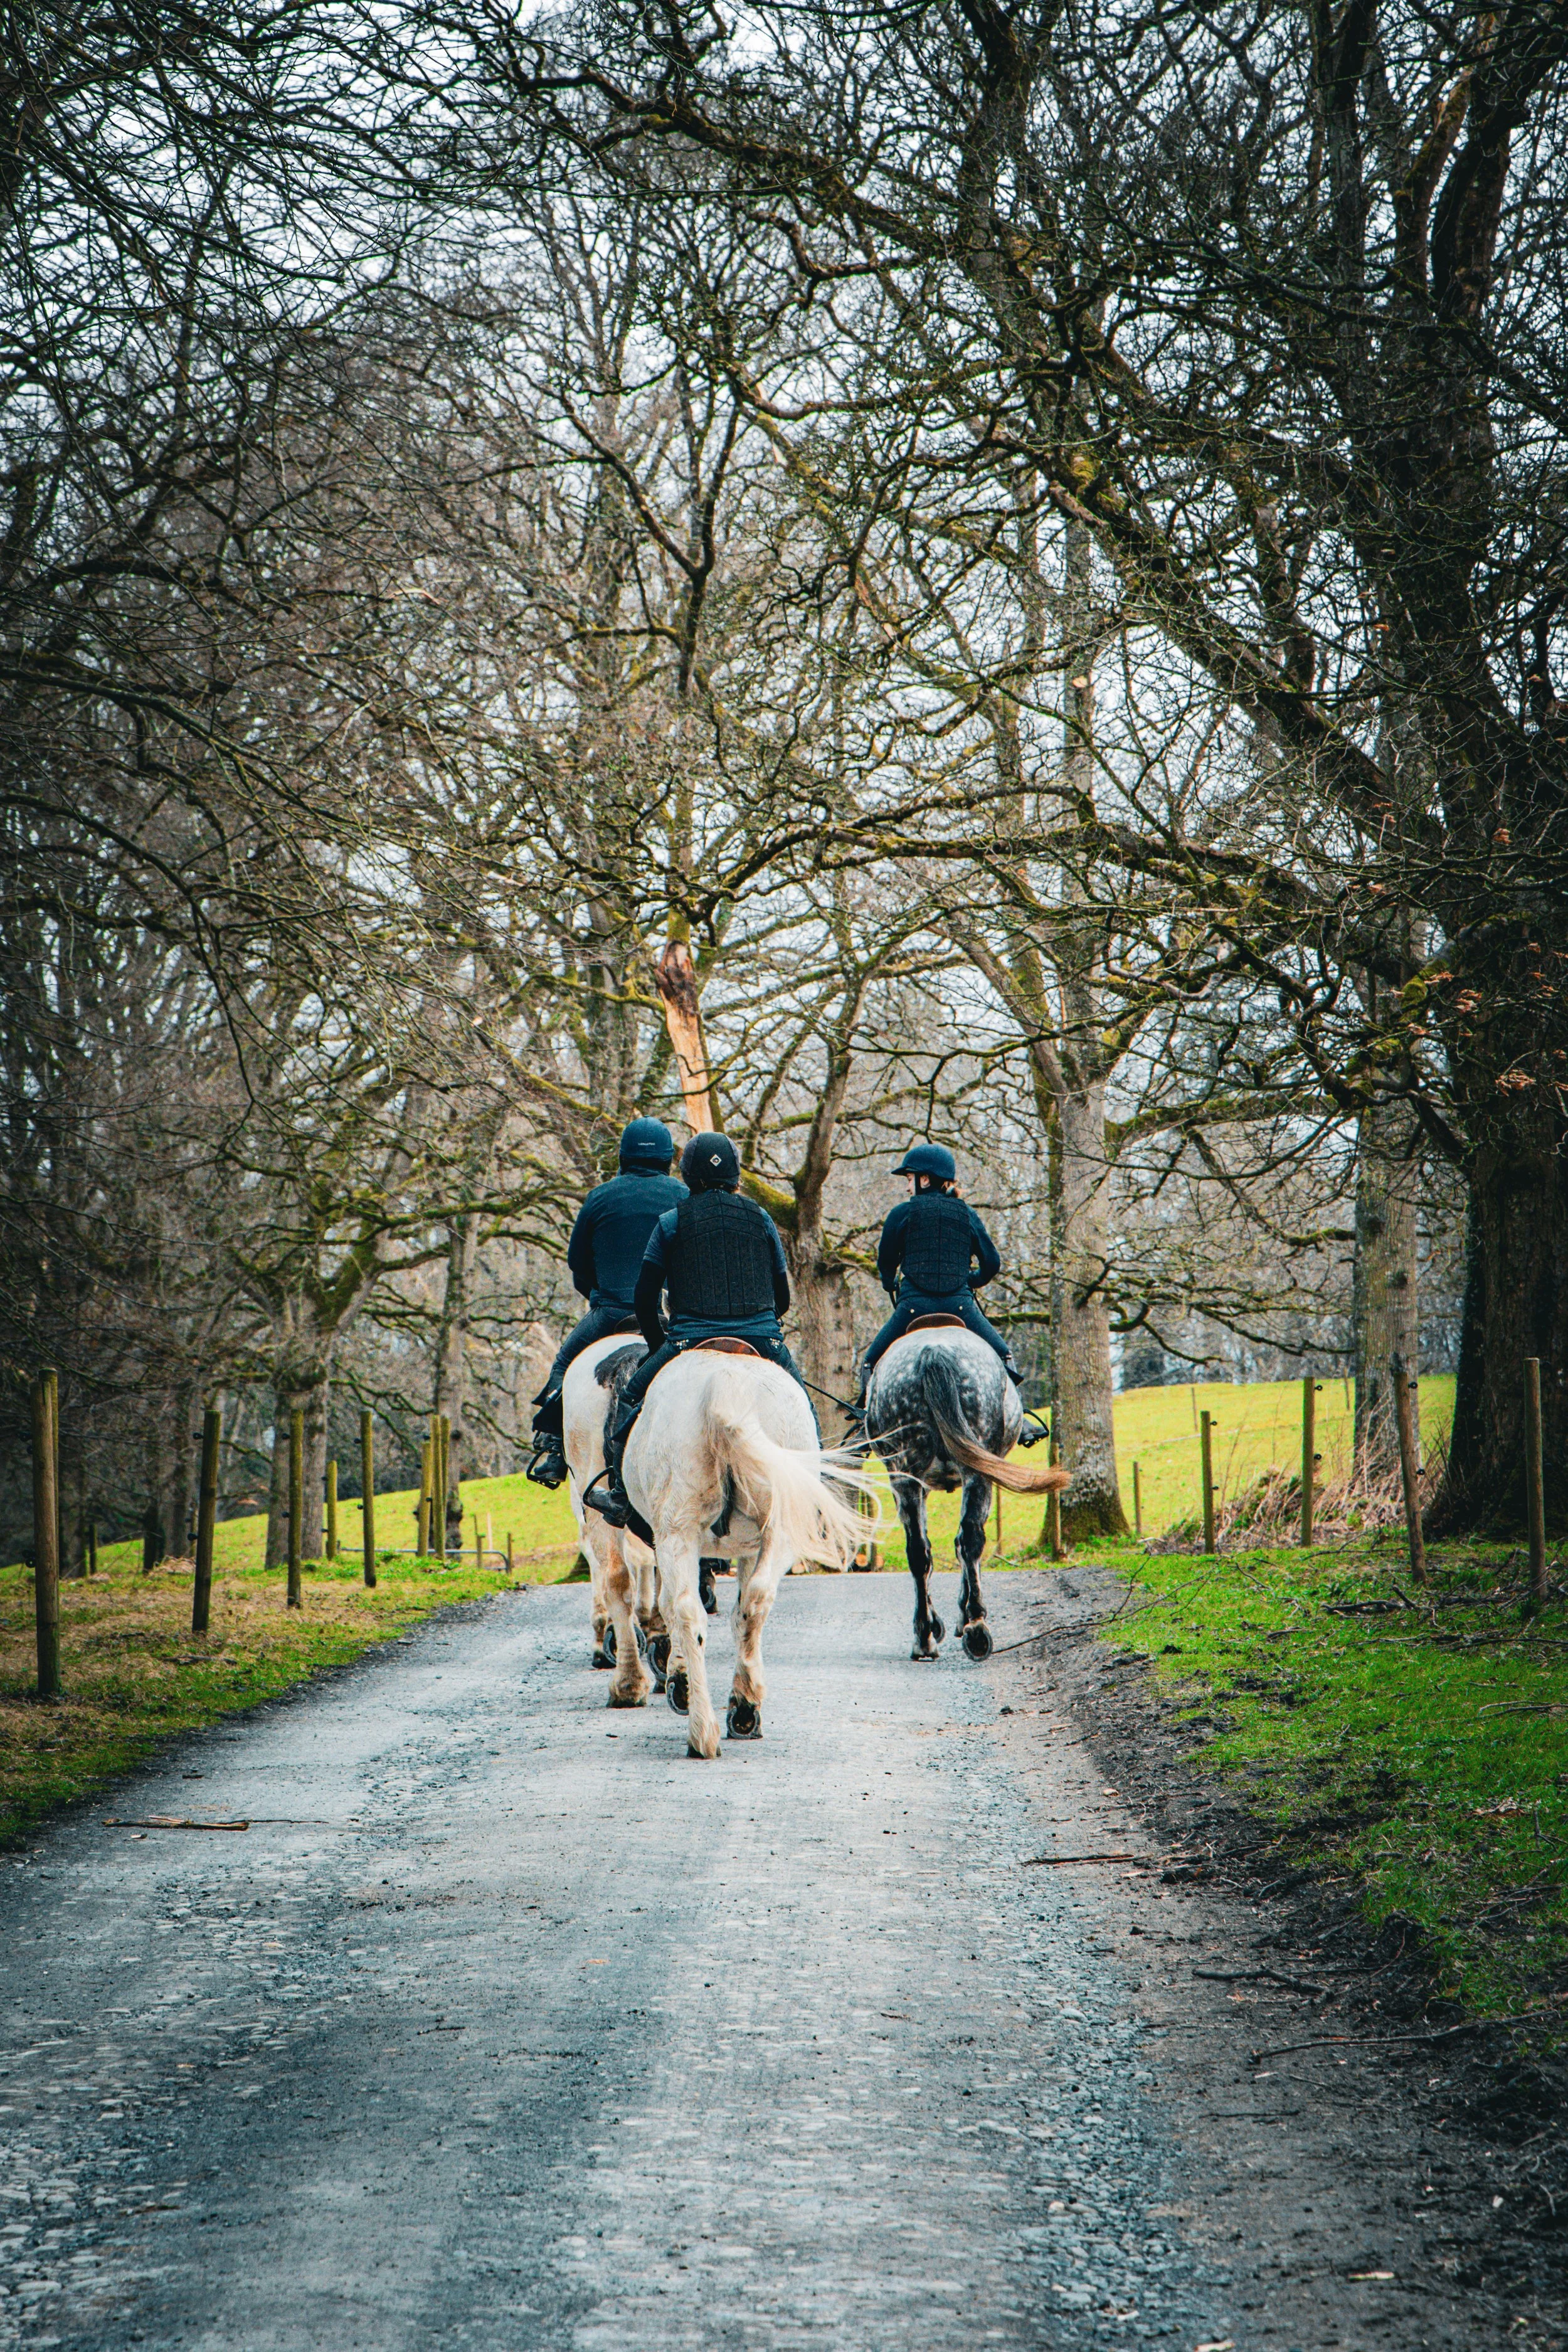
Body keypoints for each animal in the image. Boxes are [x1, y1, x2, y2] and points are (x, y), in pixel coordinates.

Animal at [622, 1341, 875, 1759]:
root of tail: (727, 1381)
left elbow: (669, 1607)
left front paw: (676, 1676)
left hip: (677, 1531)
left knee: (688, 1611)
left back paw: (701, 1730)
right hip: (777, 1530)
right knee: (755, 1601)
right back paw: (742, 1709)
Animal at [865, 1317, 1068, 1663]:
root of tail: (933, 1352)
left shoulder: (918, 1484)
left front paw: (941, 1623)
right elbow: (964, 1546)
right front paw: (961, 1616)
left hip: (907, 1474)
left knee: (920, 1551)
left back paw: (925, 1638)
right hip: (974, 1471)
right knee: (969, 1540)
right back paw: (973, 1628)